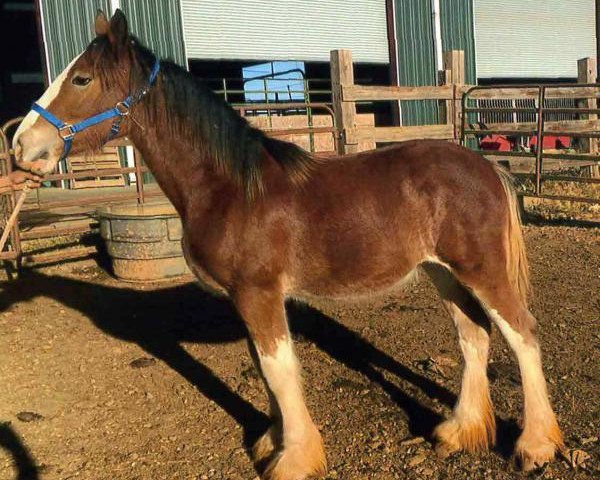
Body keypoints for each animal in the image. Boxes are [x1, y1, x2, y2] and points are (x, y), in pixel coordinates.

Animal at [12, 9, 564, 478]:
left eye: (82, 78)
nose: (21, 146)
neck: (229, 186)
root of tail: (486, 166)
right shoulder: (245, 300)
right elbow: (264, 370)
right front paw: (271, 445)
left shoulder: (259, 294)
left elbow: (279, 371)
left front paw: (293, 459)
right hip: (443, 271)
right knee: (474, 337)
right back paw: (458, 431)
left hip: (481, 270)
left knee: (522, 334)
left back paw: (535, 445)